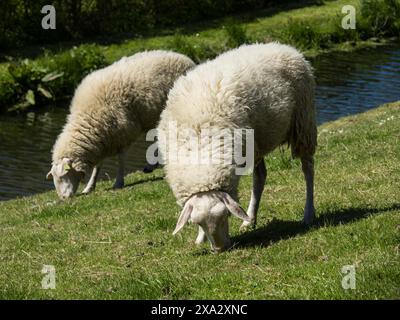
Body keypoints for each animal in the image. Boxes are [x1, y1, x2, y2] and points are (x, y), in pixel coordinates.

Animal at [46, 50, 195, 199]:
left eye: (64, 175)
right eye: (54, 177)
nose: (63, 198)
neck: (88, 116)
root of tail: (184, 57)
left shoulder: (123, 134)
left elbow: (121, 160)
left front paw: (118, 182)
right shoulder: (102, 141)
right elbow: (97, 166)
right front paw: (89, 187)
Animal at [158, 42, 318, 252]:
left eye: (226, 215)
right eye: (197, 223)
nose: (220, 249)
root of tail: (282, 46)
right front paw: (200, 238)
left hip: (303, 122)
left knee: (307, 168)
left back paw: (308, 213)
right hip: (257, 143)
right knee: (260, 176)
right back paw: (249, 220)